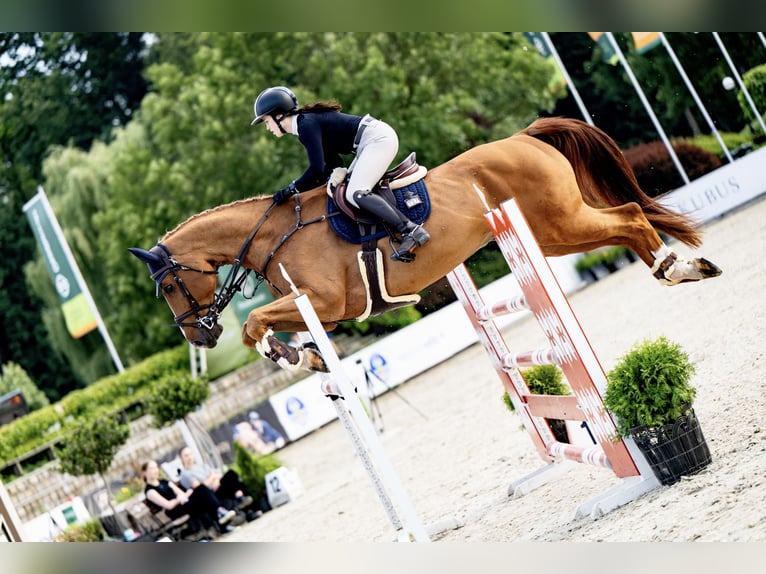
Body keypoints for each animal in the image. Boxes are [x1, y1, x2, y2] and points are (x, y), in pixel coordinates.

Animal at [129, 119, 724, 376]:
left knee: (629, 218)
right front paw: (309, 356)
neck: (276, 233)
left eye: (168, 287)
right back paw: (683, 267)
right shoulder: (325, 311)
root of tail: (523, 136)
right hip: (553, 234)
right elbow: (272, 326)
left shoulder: (326, 302)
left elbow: (255, 324)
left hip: (560, 220)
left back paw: (677, 266)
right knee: (624, 224)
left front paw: (289, 355)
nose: (198, 337)